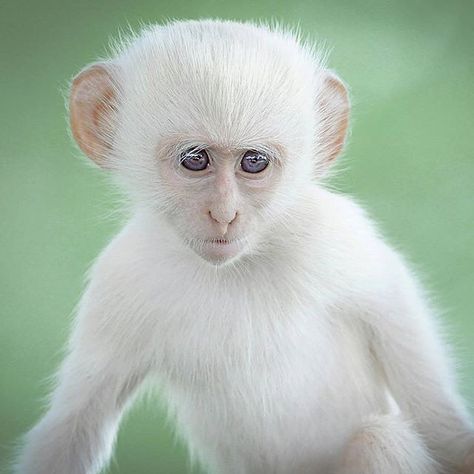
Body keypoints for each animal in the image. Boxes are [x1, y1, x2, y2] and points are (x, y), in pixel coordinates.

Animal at [14, 18, 474, 474]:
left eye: (254, 162)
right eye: (195, 159)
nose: (224, 213)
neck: (236, 268)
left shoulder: (343, 238)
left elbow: (436, 419)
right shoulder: (121, 275)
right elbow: (73, 429)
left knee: (379, 439)